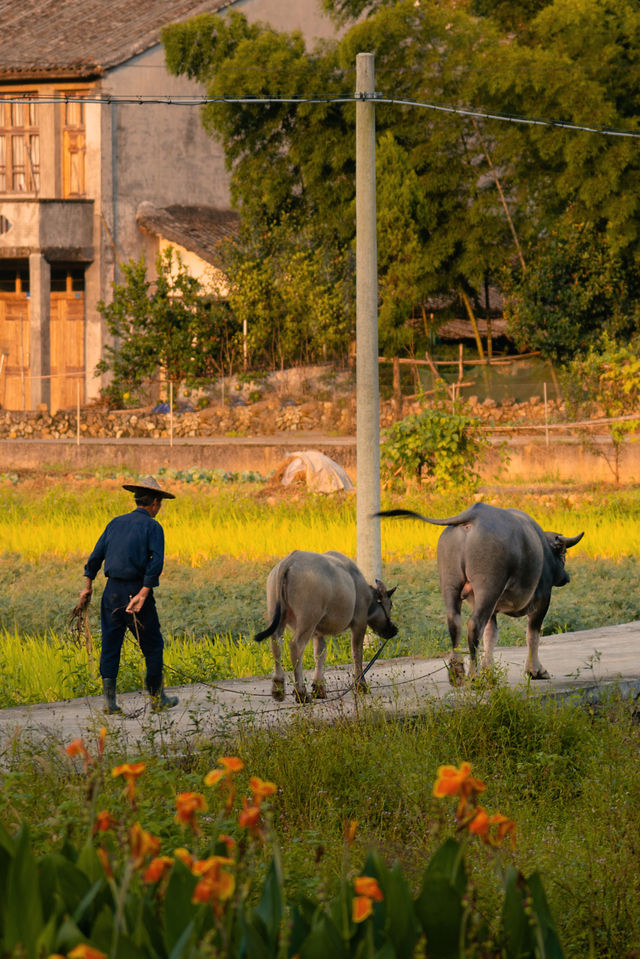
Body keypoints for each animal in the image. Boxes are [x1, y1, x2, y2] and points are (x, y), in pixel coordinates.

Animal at [254, 552, 396, 700]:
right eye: (390, 605)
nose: (394, 630)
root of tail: (289, 561)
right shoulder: (359, 623)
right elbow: (357, 653)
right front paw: (361, 685)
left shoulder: (318, 633)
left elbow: (320, 655)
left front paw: (318, 688)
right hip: (307, 620)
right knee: (296, 646)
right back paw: (301, 692)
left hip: (278, 617)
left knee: (276, 644)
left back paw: (278, 689)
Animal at [378, 502, 584, 684]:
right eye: (563, 553)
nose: (566, 577)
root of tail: (473, 515)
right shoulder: (542, 600)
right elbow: (532, 635)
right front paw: (535, 671)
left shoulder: (493, 609)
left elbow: (490, 636)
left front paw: (489, 671)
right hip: (488, 588)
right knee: (474, 625)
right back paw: (473, 676)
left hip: (451, 584)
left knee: (455, 622)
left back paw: (457, 673)